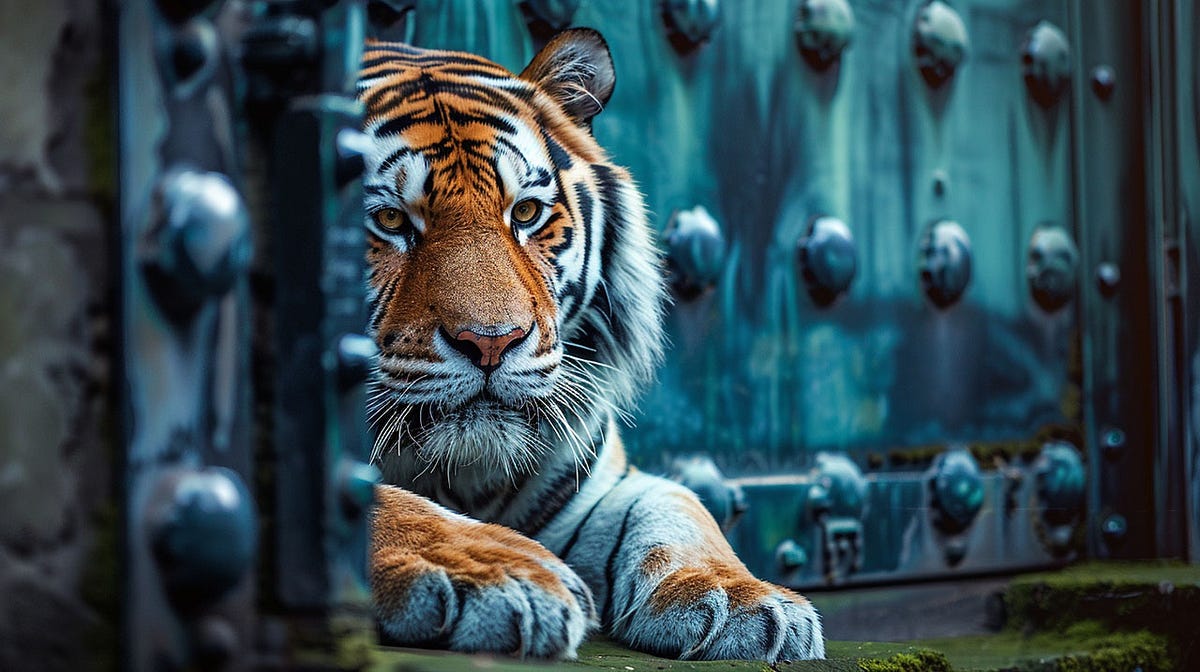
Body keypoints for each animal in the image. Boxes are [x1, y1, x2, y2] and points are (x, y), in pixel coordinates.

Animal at [358, 28, 825, 662]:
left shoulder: (597, 478)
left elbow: (680, 505)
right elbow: (385, 502)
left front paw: (744, 599)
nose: (492, 342)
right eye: (387, 220)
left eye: (526, 212)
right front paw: (499, 570)